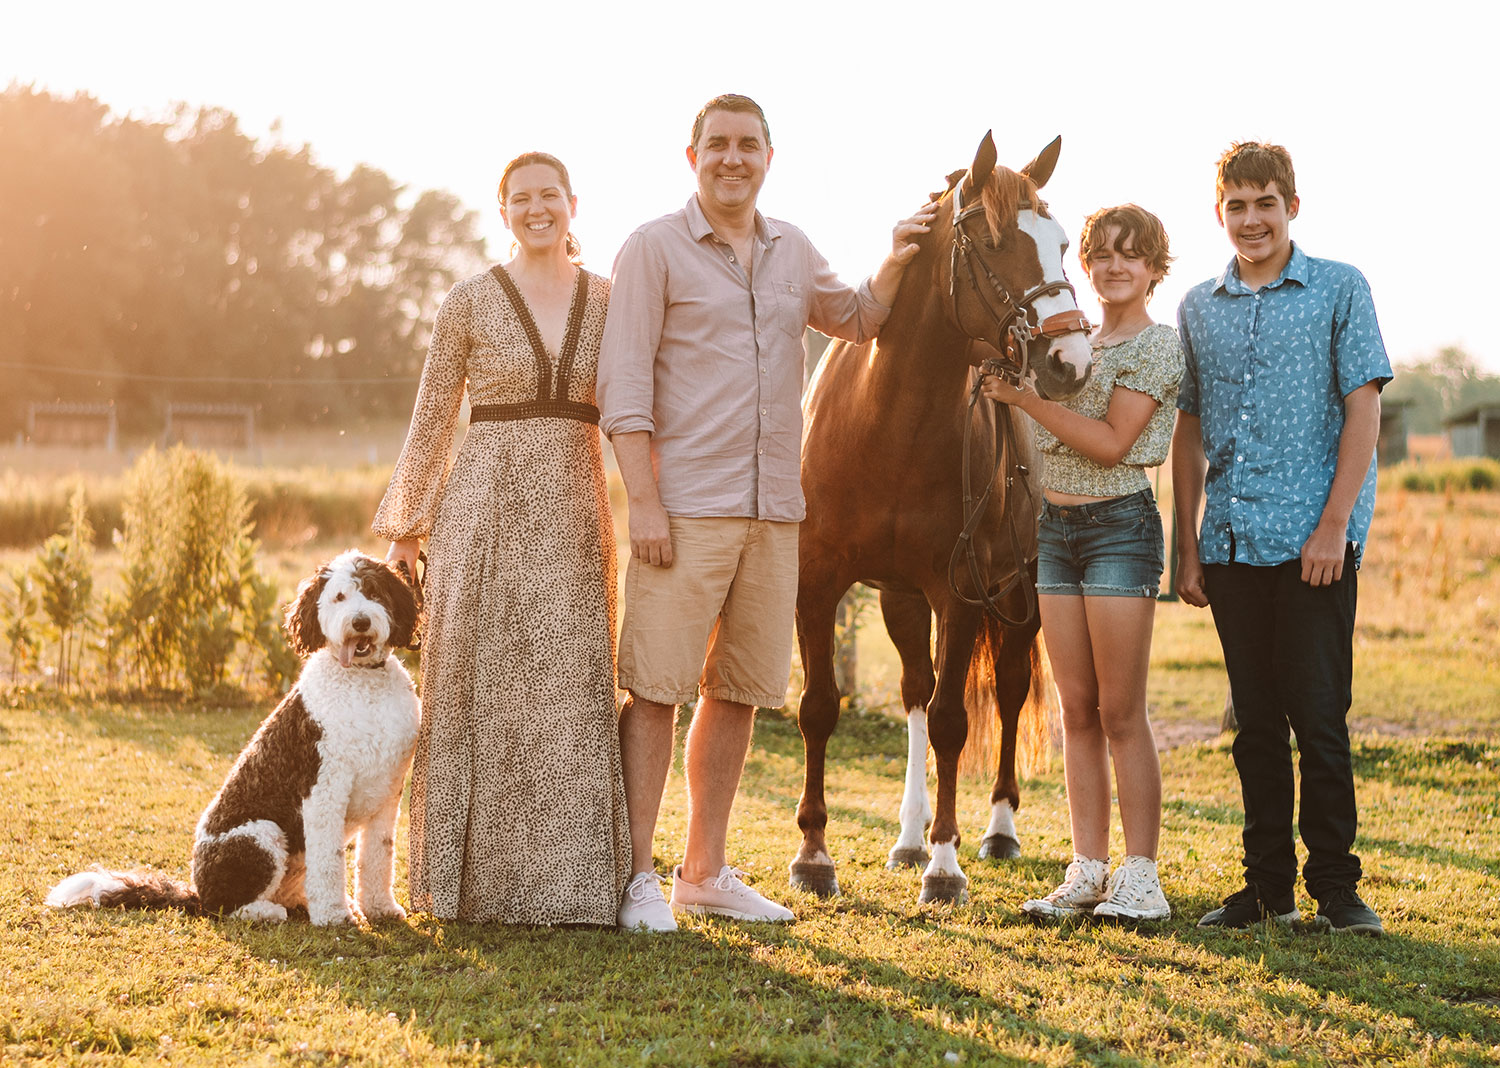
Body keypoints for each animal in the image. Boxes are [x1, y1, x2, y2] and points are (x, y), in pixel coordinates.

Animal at [46, 552, 423, 924]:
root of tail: (197, 892)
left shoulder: (388, 792)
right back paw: (267, 912)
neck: (362, 684)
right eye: (339, 597)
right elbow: (330, 859)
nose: (360, 622)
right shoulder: (324, 788)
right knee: (225, 907)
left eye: (373, 592)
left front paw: (379, 908)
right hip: (260, 834)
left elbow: (378, 856)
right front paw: (334, 916)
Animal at [792, 133, 1098, 900]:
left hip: (1020, 596)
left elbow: (955, 722)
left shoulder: (962, 597)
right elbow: (821, 706)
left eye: (1062, 243)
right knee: (914, 694)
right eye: (994, 241)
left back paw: (996, 830)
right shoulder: (817, 581)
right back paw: (906, 837)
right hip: (903, 597)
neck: (888, 423)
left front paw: (945, 863)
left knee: (1008, 694)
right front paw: (814, 855)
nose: (1069, 360)